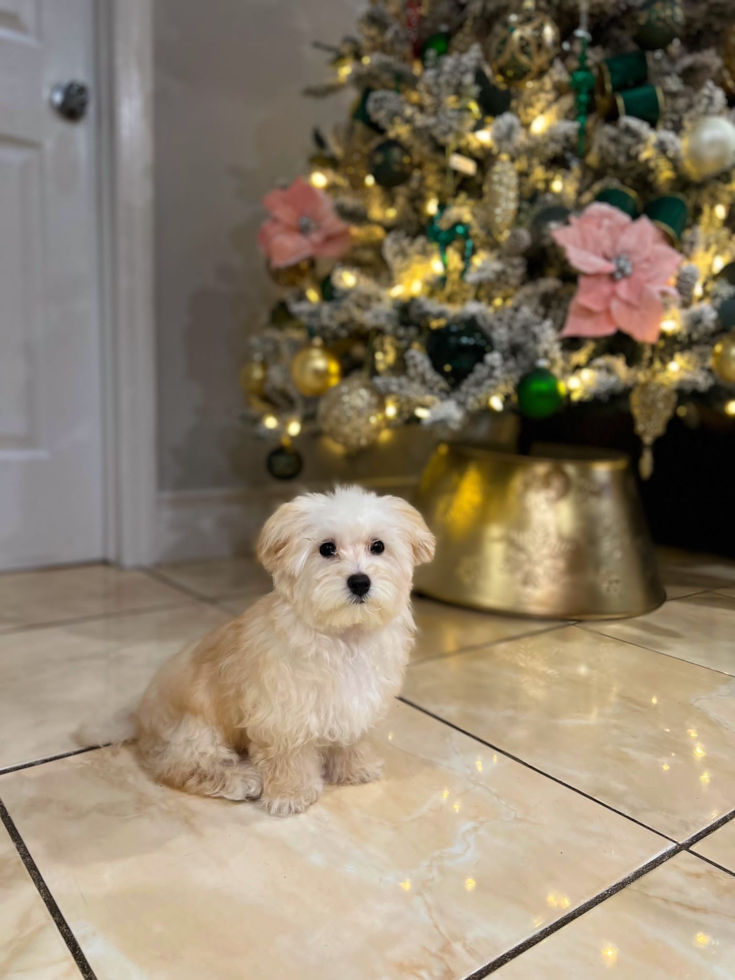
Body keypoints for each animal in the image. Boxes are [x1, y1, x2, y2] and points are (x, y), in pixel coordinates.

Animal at [136, 486, 434, 816]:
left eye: (378, 546)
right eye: (327, 549)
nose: (360, 582)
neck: (344, 636)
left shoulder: (352, 703)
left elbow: (349, 740)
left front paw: (354, 768)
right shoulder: (283, 713)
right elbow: (289, 755)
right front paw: (291, 793)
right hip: (198, 730)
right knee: (182, 766)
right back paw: (242, 779)